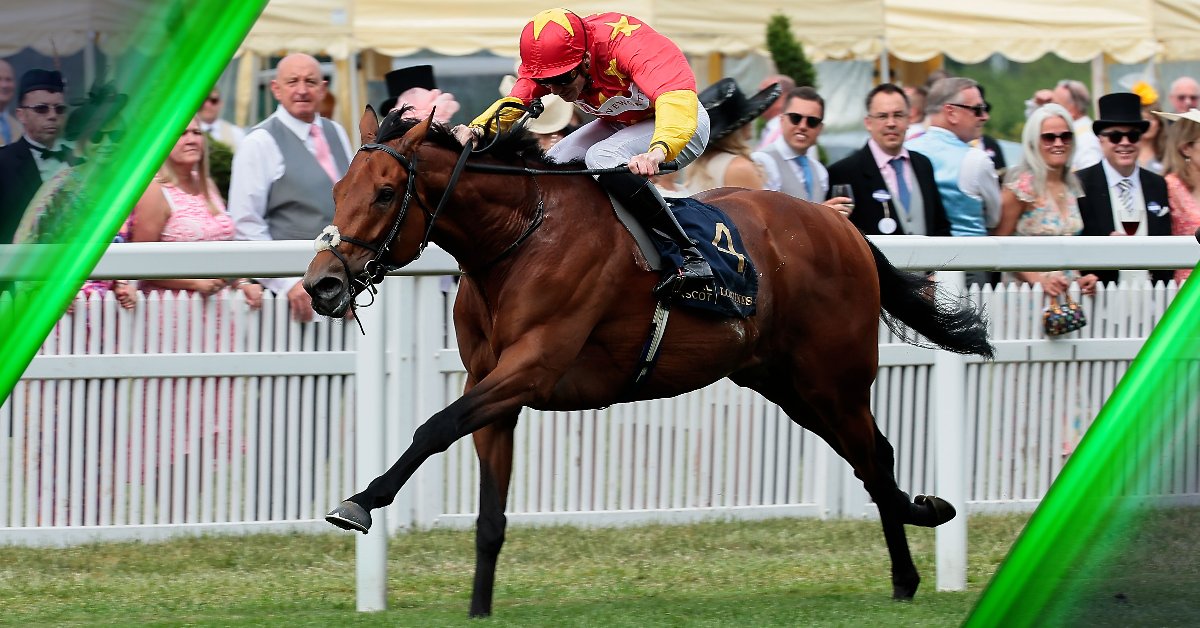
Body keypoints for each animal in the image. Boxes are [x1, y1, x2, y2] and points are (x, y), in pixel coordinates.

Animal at [302, 106, 993, 614]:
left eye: (385, 192)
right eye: (337, 188)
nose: (322, 285)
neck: (519, 236)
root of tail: (840, 224)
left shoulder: (530, 370)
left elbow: (434, 426)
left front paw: (359, 501)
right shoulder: (493, 386)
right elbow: (489, 516)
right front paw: (477, 608)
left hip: (832, 380)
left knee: (873, 458)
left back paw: (911, 562)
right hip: (785, 383)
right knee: (872, 457)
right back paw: (919, 531)